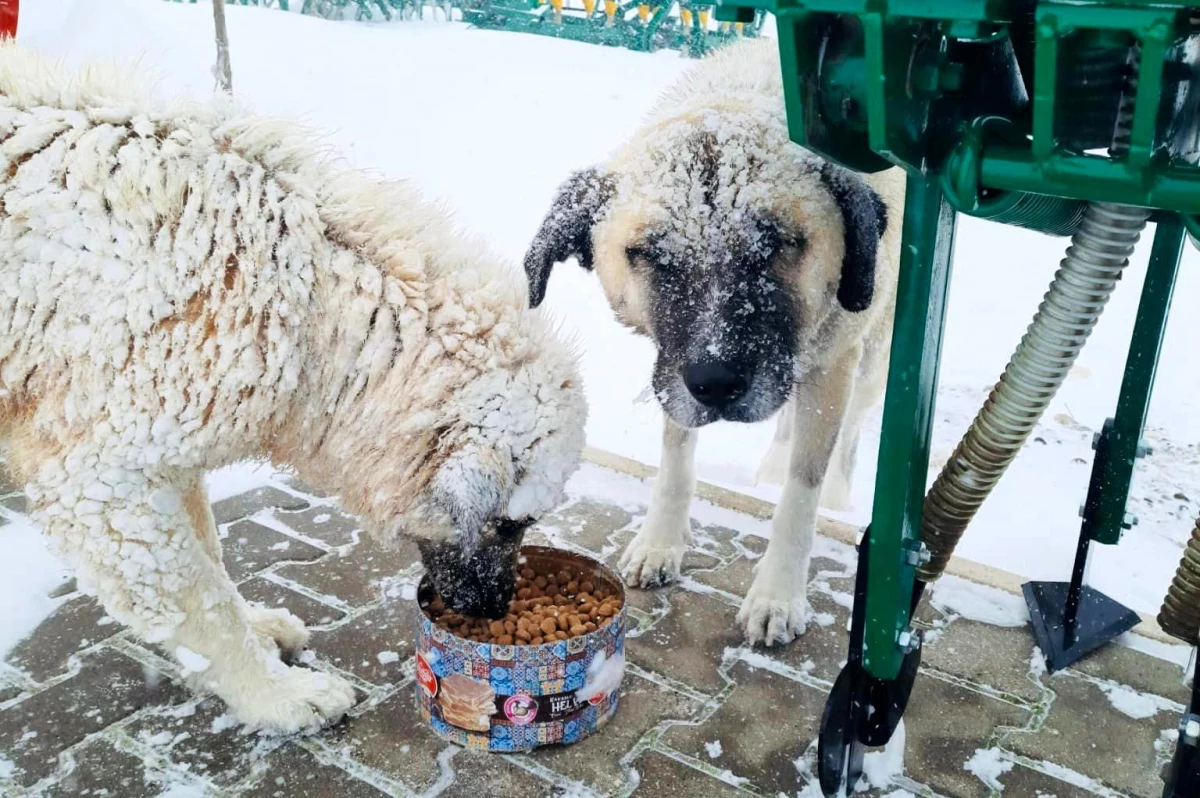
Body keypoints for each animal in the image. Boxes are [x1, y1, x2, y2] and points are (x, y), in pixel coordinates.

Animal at [0, 42, 585, 729]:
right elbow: (201, 600)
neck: (306, 295)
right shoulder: (104, 486)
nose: (496, 609)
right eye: (510, 523)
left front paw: (257, 631)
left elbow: (211, 560)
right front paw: (276, 694)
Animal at [520, 39, 902, 648]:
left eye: (778, 243)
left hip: (869, 357)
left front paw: (778, 593)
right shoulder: (671, 372)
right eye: (649, 254)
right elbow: (676, 457)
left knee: (850, 427)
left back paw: (838, 491)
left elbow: (802, 490)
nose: (717, 384)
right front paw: (660, 542)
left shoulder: (832, 364)